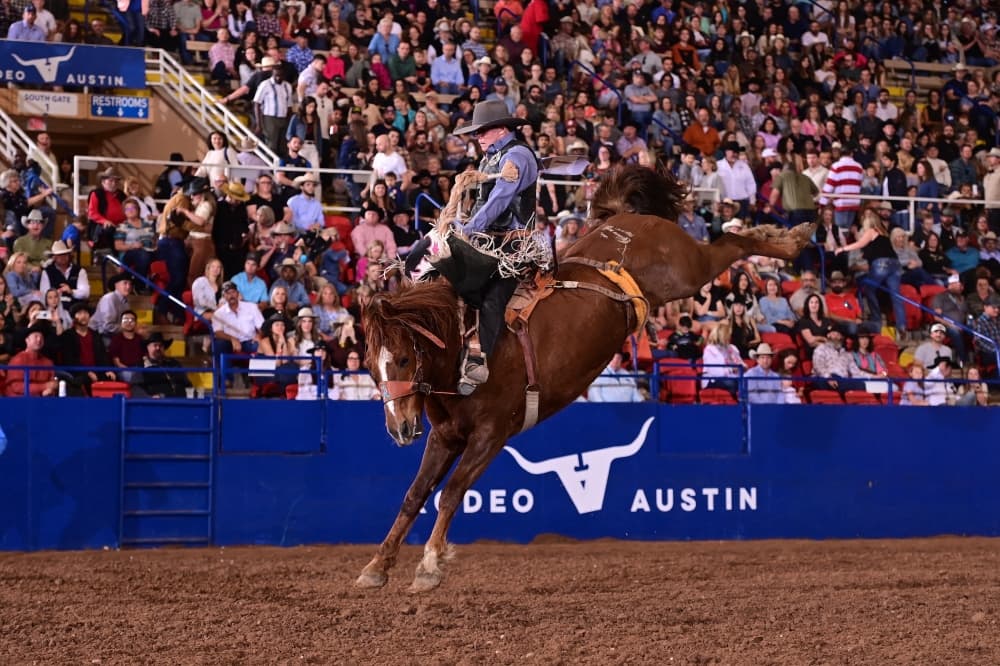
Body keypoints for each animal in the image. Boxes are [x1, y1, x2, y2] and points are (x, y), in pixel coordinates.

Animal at [357, 165, 815, 592]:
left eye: (402, 359)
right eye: (371, 368)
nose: (398, 429)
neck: (466, 347)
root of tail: (631, 219)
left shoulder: (490, 435)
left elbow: (450, 494)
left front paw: (431, 564)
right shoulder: (445, 436)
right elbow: (415, 494)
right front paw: (377, 566)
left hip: (689, 271)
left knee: (732, 244)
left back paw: (792, 238)